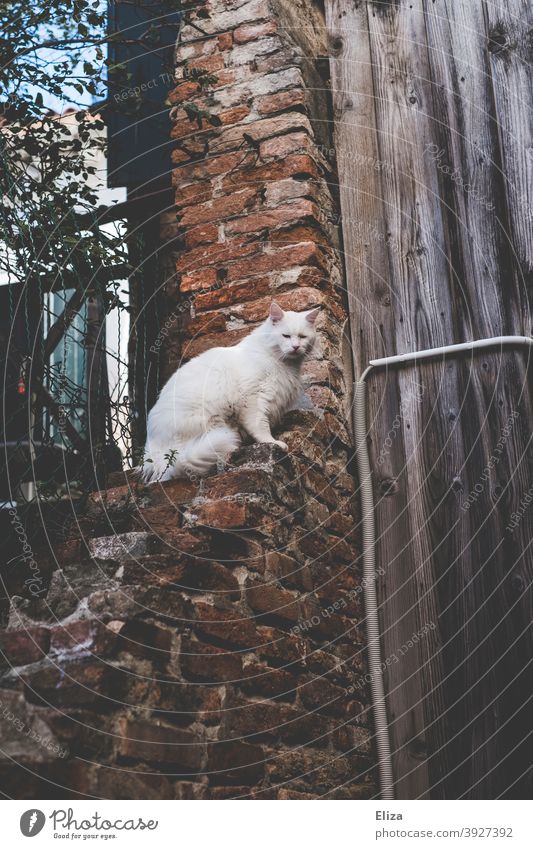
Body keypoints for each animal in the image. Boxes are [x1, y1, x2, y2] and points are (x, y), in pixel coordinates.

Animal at [139, 302, 318, 480]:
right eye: (286, 336)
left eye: (302, 337)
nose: (295, 347)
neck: (284, 363)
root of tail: (155, 453)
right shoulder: (253, 399)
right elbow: (260, 427)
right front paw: (273, 442)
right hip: (211, 420)